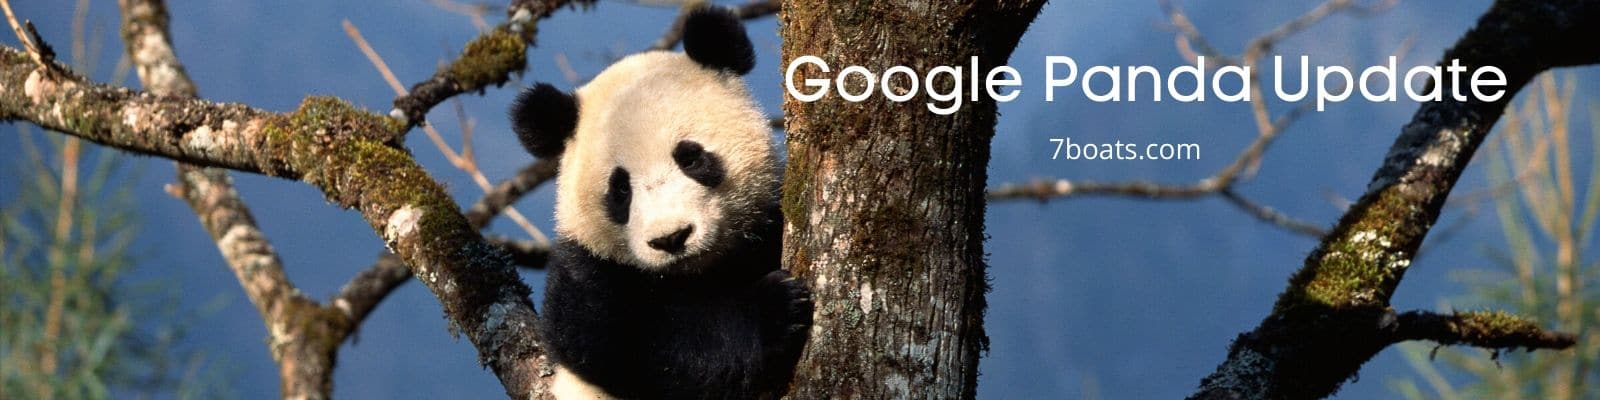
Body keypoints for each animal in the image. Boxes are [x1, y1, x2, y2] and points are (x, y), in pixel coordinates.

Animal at [508, 7, 813, 400]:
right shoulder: (589, 276)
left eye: (691, 158)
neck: (697, 273)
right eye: (621, 190)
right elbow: (640, 347)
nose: (671, 238)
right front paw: (773, 308)